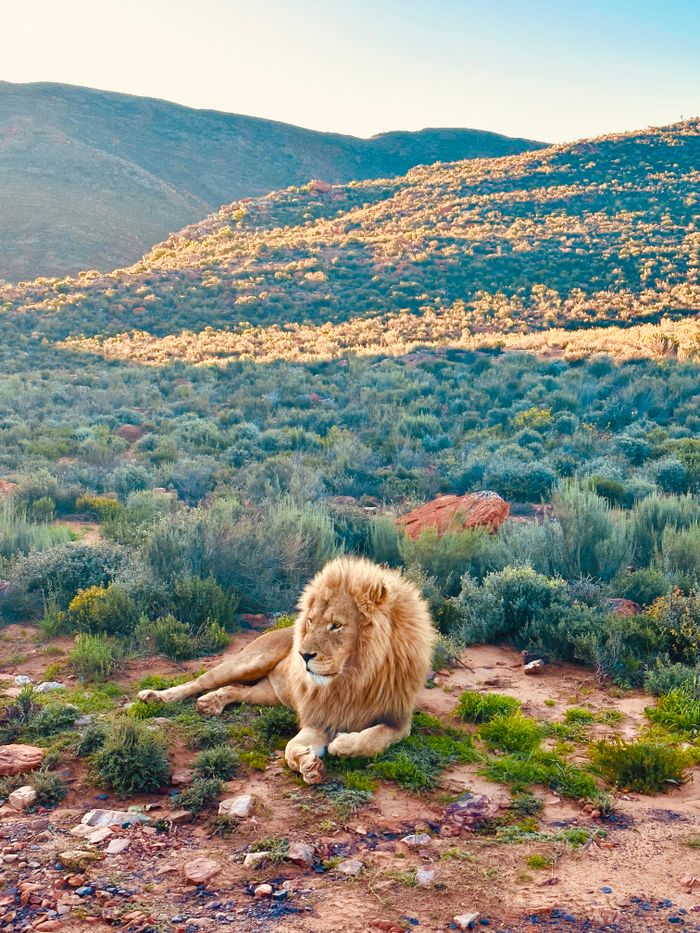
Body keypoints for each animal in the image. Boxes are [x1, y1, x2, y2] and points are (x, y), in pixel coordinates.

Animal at [137, 556, 435, 783]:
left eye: (336, 625)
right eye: (311, 621)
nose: (302, 655)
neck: (353, 679)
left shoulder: (399, 721)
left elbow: (373, 738)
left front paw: (341, 744)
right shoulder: (320, 718)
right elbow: (291, 748)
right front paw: (307, 762)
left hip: (271, 694)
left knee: (235, 690)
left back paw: (211, 703)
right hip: (248, 662)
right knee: (200, 681)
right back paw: (155, 696)